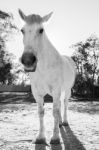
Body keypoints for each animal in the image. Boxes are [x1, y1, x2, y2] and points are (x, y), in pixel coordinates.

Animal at [18, 9, 76, 144]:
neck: (43, 67)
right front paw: (40, 137)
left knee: (64, 104)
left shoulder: (56, 90)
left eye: (41, 30)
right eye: (22, 30)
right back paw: (59, 123)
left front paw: (55, 137)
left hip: (66, 91)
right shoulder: (37, 93)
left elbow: (54, 112)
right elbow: (41, 112)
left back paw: (64, 122)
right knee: (59, 105)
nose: (28, 60)